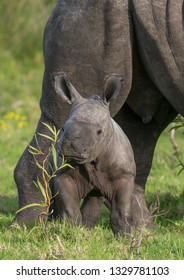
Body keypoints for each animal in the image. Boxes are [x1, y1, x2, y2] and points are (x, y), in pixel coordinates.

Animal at [51, 71, 136, 236]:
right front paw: (74, 233)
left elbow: (120, 211)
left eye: (99, 132)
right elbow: (70, 210)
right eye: (63, 129)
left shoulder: (124, 175)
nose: (71, 147)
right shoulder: (63, 175)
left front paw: (125, 238)